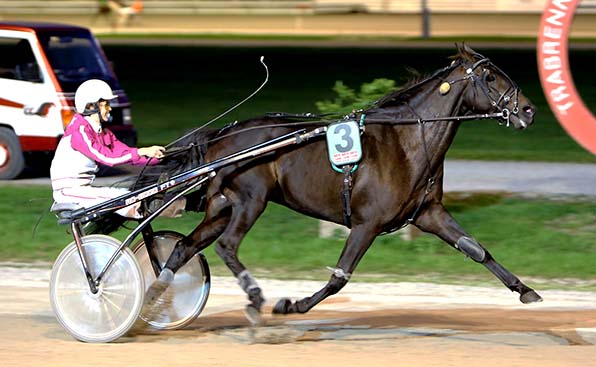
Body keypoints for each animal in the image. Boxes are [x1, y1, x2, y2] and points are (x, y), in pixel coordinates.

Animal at [137, 44, 544, 324]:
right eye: (490, 77)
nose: (528, 110)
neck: (409, 140)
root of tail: (222, 134)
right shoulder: (367, 223)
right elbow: (340, 278)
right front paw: (292, 305)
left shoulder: (428, 213)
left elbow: (477, 250)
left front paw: (526, 291)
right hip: (251, 200)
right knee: (226, 246)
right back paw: (253, 297)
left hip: (224, 206)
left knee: (184, 247)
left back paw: (153, 298)